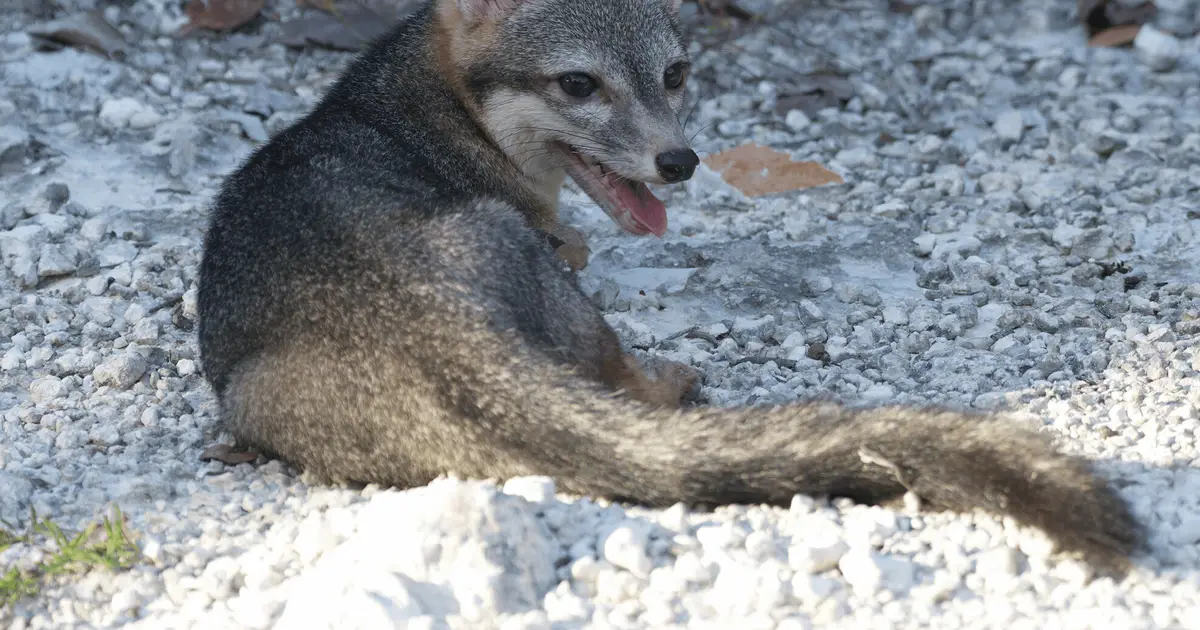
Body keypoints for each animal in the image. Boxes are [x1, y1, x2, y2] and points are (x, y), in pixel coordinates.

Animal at [196, 0, 1143, 573]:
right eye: (579, 84)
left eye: (677, 74)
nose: (679, 161)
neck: (416, 109)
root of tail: (435, 328)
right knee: (621, 376)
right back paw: (669, 379)